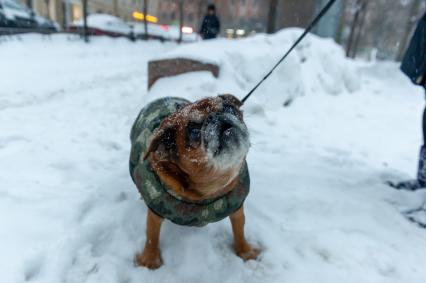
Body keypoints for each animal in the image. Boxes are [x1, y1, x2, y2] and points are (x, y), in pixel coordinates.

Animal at [128, 94, 258, 270]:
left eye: (230, 108)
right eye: (194, 131)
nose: (217, 116)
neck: (207, 192)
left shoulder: (236, 208)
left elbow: (239, 230)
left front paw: (245, 251)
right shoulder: (155, 214)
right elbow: (151, 236)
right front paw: (150, 259)